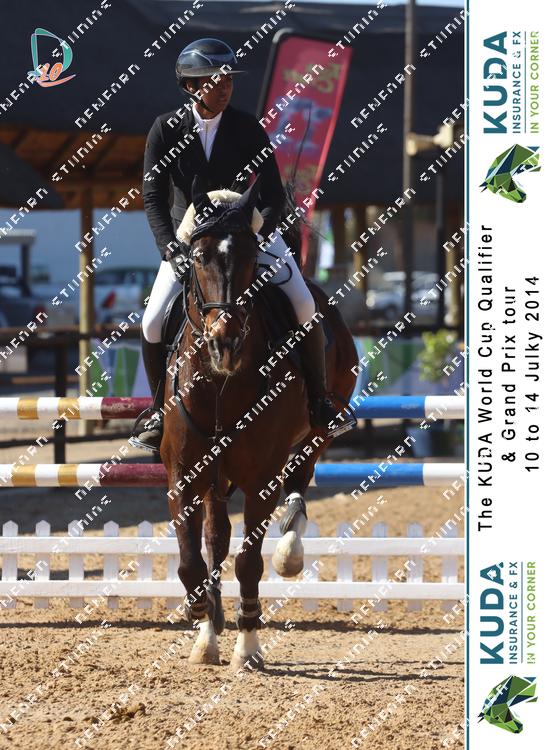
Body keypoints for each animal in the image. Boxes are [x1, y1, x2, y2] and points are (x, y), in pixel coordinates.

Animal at [160, 173, 358, 668]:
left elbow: (250, 562)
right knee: (216, 538)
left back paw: (291, 550)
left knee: (299, 487)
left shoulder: (262, 478)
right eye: (198, 257)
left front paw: (247, 647)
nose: (224, 344)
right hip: (215, 475)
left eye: (252, 260)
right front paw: (204, 627)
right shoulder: (182, 473)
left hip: (316, 436)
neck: (220, 384)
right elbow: (192, 561)